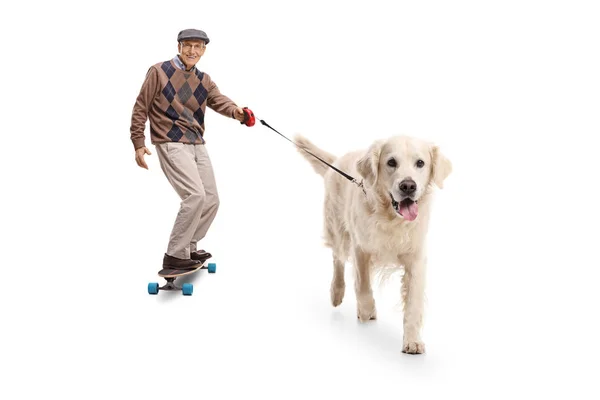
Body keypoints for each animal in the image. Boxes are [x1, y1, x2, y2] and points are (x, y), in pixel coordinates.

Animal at [296, 134, 450, 354]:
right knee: (337, 259)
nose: (408, 186)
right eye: (391, 162)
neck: (391, 219)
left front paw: (412, 341)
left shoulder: (416, 258)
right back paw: (336, 291)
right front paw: (367, 311)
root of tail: (337, 161)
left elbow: (413, 304)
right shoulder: (361, 248)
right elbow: (363, 285)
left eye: (420, 163)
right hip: (338, 229)